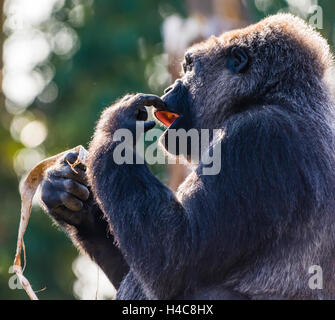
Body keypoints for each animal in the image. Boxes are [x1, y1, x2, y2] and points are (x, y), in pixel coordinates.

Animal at [40, 14, 335, 300]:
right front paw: (68, 195)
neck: (273, 95)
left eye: (190, 67)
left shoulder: (257, 136)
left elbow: (174, 257)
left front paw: (115, 127)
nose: (169, 88)